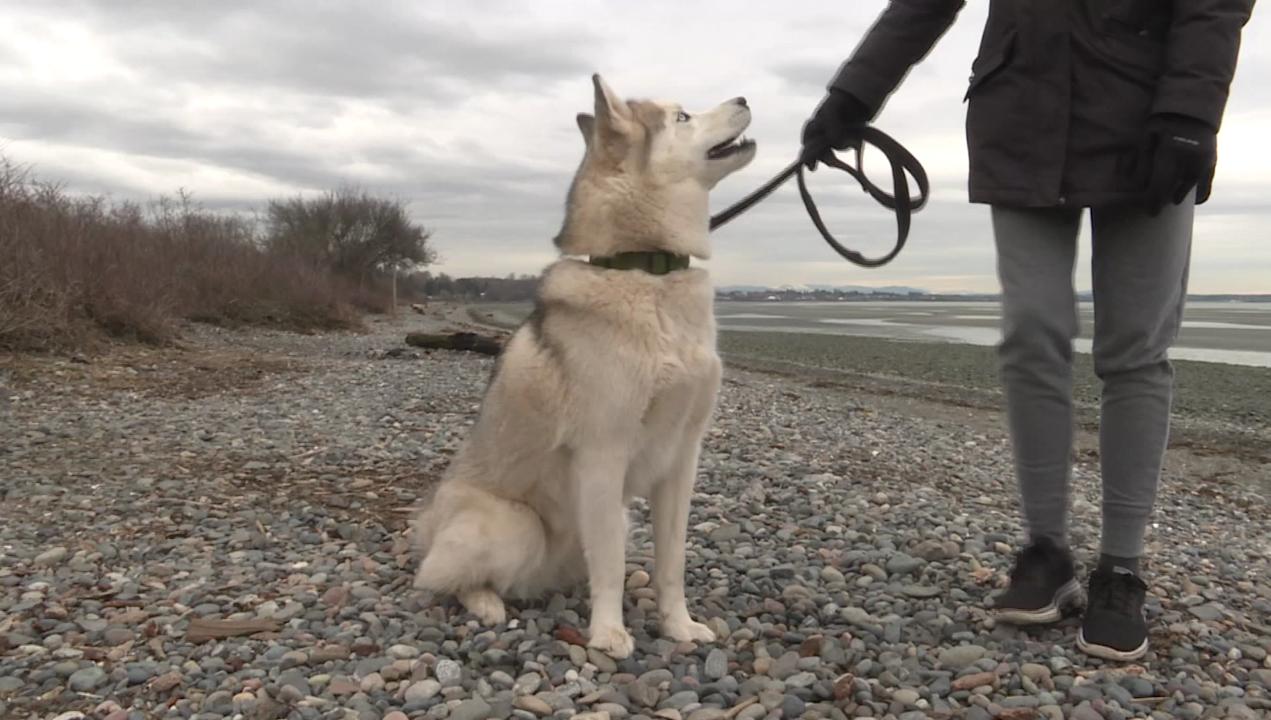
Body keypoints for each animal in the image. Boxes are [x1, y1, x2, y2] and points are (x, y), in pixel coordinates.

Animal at [411, 74, 752, 661]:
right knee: (441, 578)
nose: (745, 99)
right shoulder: (602, 455)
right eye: (683, 117)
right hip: (517, 524)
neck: (648, 272)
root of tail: (430, 520)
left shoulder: (682, 458)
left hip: (615, 516)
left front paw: (678, 625)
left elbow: (672, 560)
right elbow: (609, 564)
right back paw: (485, 603)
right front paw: (609, 633)